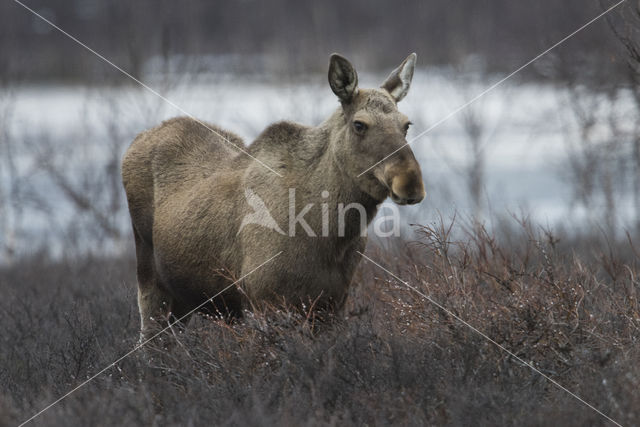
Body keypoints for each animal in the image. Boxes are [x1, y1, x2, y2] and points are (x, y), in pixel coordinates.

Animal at [124, 53, 424, 338]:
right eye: (359, 124)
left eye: (406, 125)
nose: (410, 183)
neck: (329, 232)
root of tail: (137, 139)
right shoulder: (264, 303)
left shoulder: (331, 305)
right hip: (149, 279)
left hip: (184, 299)